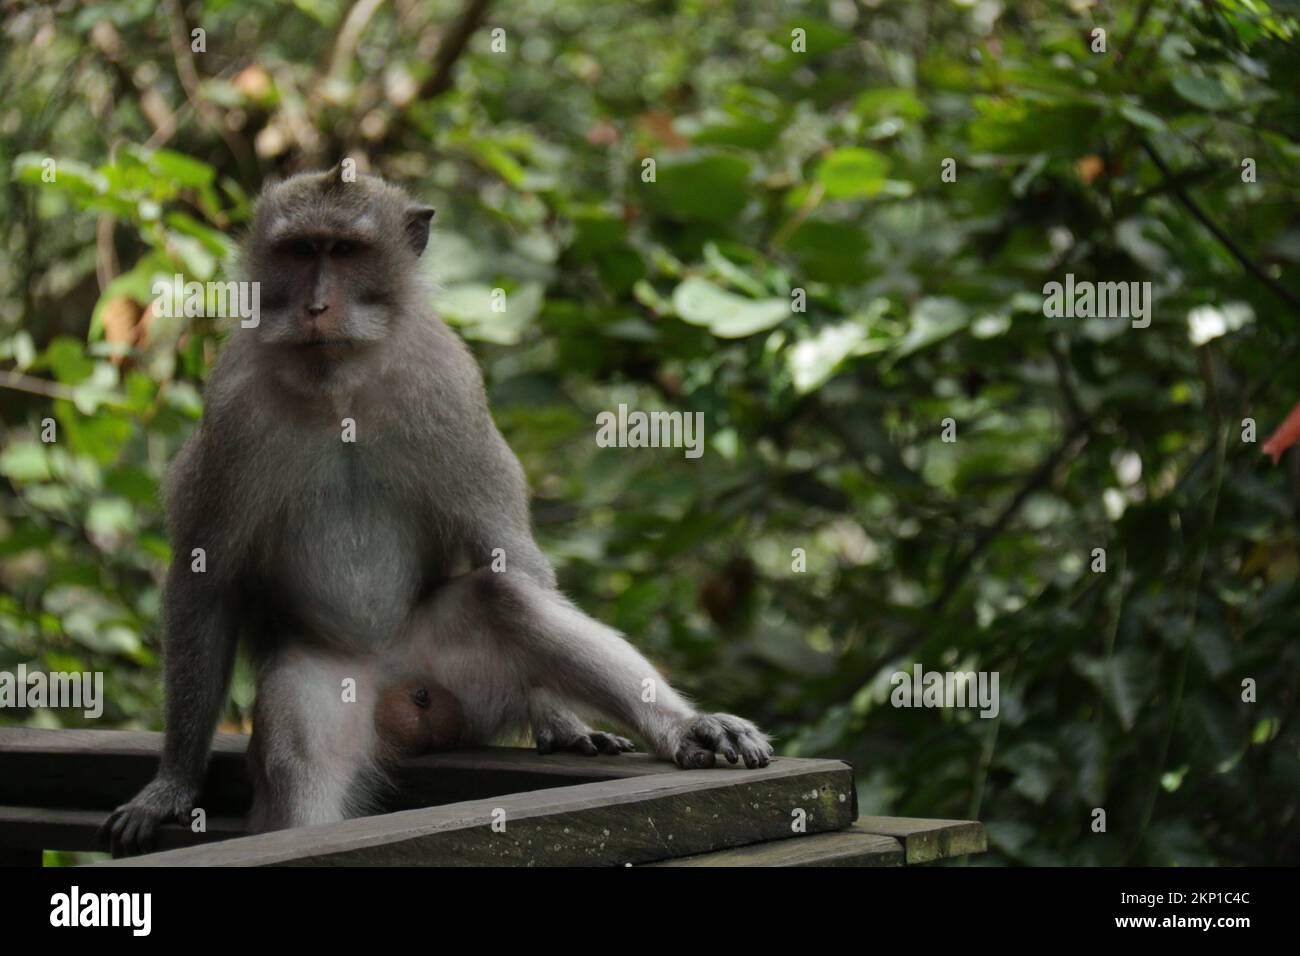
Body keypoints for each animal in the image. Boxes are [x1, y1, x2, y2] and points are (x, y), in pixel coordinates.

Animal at [106, 166, 769, 858]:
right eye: (300, 251)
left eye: (345, 251)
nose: (316, 307)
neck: (339, 383)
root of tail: (398, 685)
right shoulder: (232, 416)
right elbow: (204, 581)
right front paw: (174, 782)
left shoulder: (449, 389)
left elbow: (508, 550)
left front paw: (562, 722)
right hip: (327, 682)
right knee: (300, 761)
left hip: (468, 680)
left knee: (508, 602)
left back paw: (683, 729)